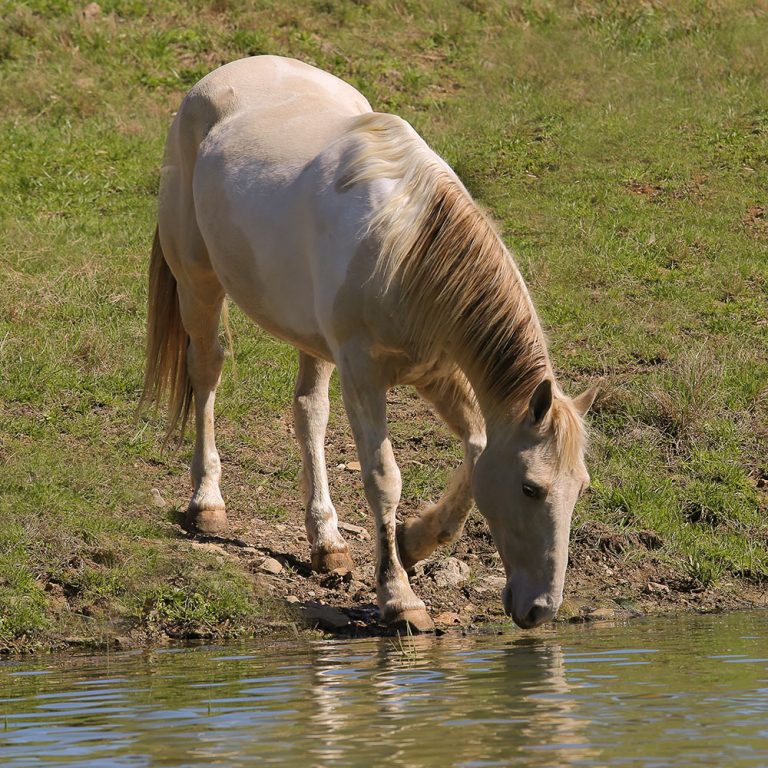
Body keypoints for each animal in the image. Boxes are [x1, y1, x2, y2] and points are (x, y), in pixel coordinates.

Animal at [144, 52, 600, 632]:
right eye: (530, 487)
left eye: (580, 487)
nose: (541, 609)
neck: (405, 246)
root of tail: (228, 73)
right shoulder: (363, 373)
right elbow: (384, 477)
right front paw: (400, 598)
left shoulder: (436, 373)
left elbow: (477, 449)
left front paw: (412, 541)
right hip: (199, 284)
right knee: (206, 374)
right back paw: (207, 504)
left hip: (313, 342)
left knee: (309, 414)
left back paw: (327, 543)